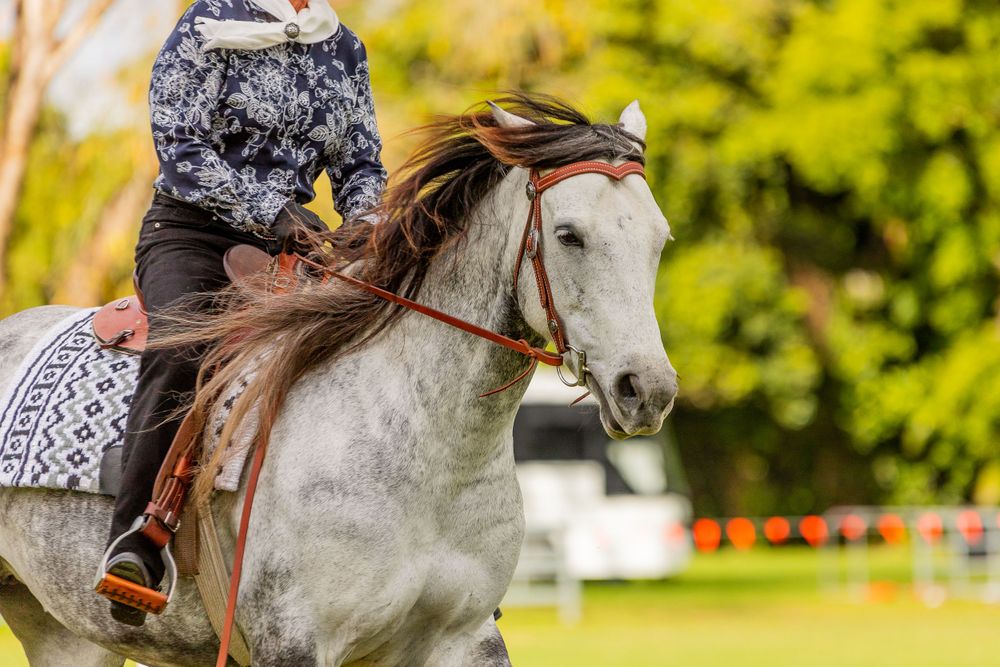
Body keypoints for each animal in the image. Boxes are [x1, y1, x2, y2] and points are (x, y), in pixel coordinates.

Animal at [0, 95, 677, 666]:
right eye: (568, 235)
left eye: (660, 239)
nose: (647, 390)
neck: (429, 454)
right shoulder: (296, 640)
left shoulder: (465, 639)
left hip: (68, 638)